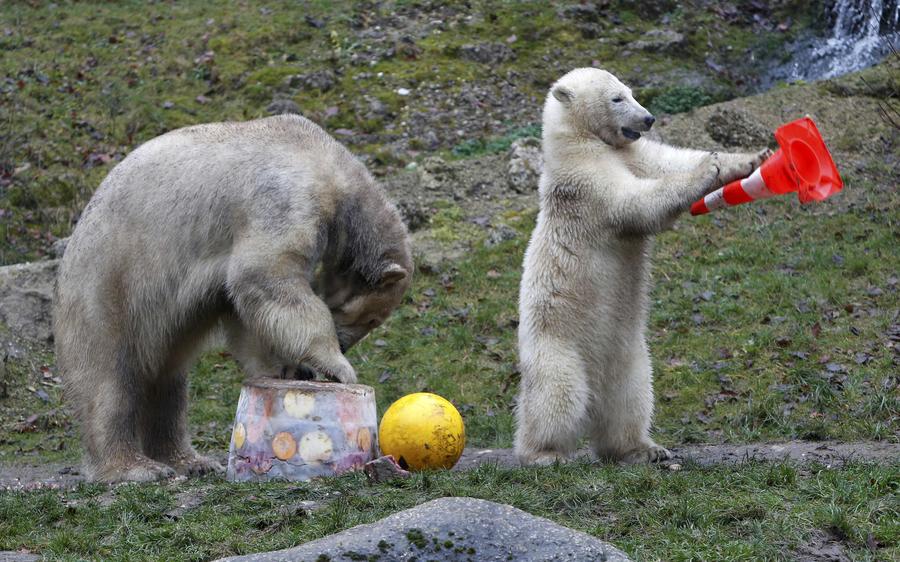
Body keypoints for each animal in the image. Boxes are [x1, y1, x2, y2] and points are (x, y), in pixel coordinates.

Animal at [53, 114, 412, 483]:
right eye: (373, 319)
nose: (345, 345)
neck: (329, 166)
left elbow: (246, 313)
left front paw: (287, 369)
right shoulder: (284, 198)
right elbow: (265, 274)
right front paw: (337, 367)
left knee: (168, 382)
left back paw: (188, 460)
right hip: (107, 287)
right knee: (107, 380)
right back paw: (135, 467)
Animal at [514, 68, 771, 465]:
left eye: (631, 92)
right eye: (617, 98)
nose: (648, 118)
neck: (580, 142)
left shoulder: (631, 153)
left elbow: (666, 162)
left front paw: (748, 157)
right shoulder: (586, 181)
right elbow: (633, 202)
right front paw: (707, 167)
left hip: (630, 355)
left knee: (629, 398)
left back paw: (643, 449)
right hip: (556, 346)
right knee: (557, 397)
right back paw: (544, 453)